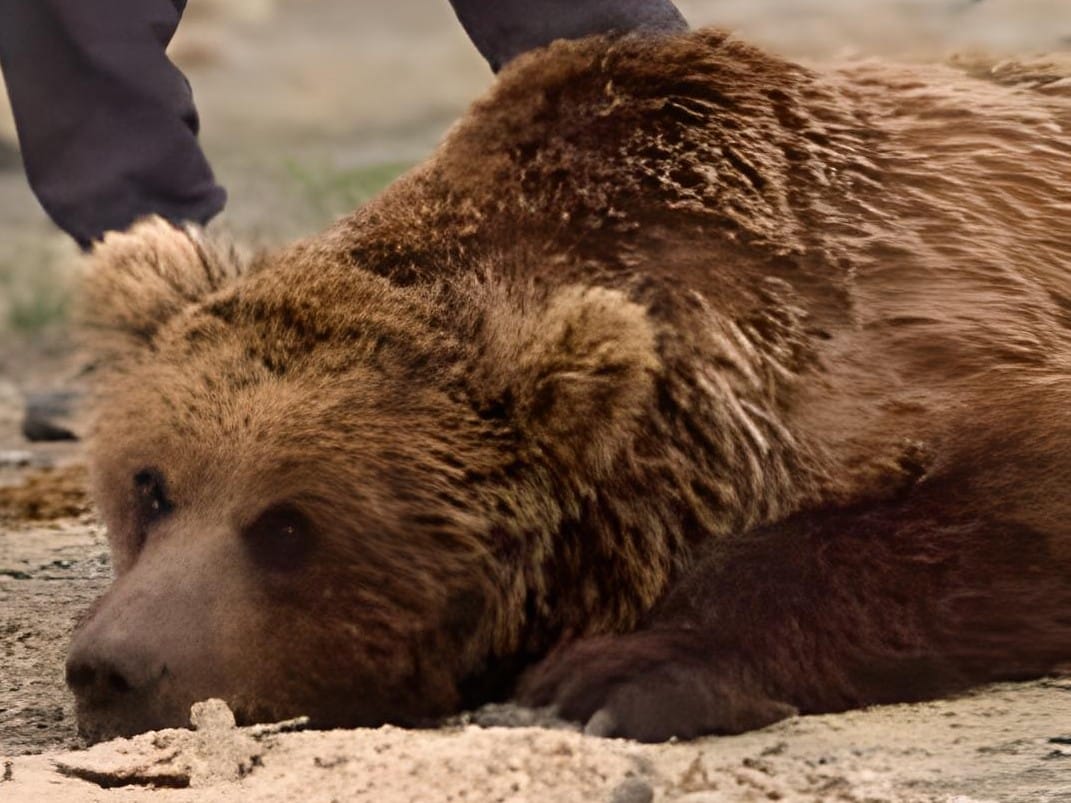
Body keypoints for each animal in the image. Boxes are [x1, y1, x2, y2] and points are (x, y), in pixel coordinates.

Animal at [66, 29, 1071, 744]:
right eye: (150, 486)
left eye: (286, 525)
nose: (111, 667)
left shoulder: (901, 324)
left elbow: (1008, 491)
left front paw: (617, 673)